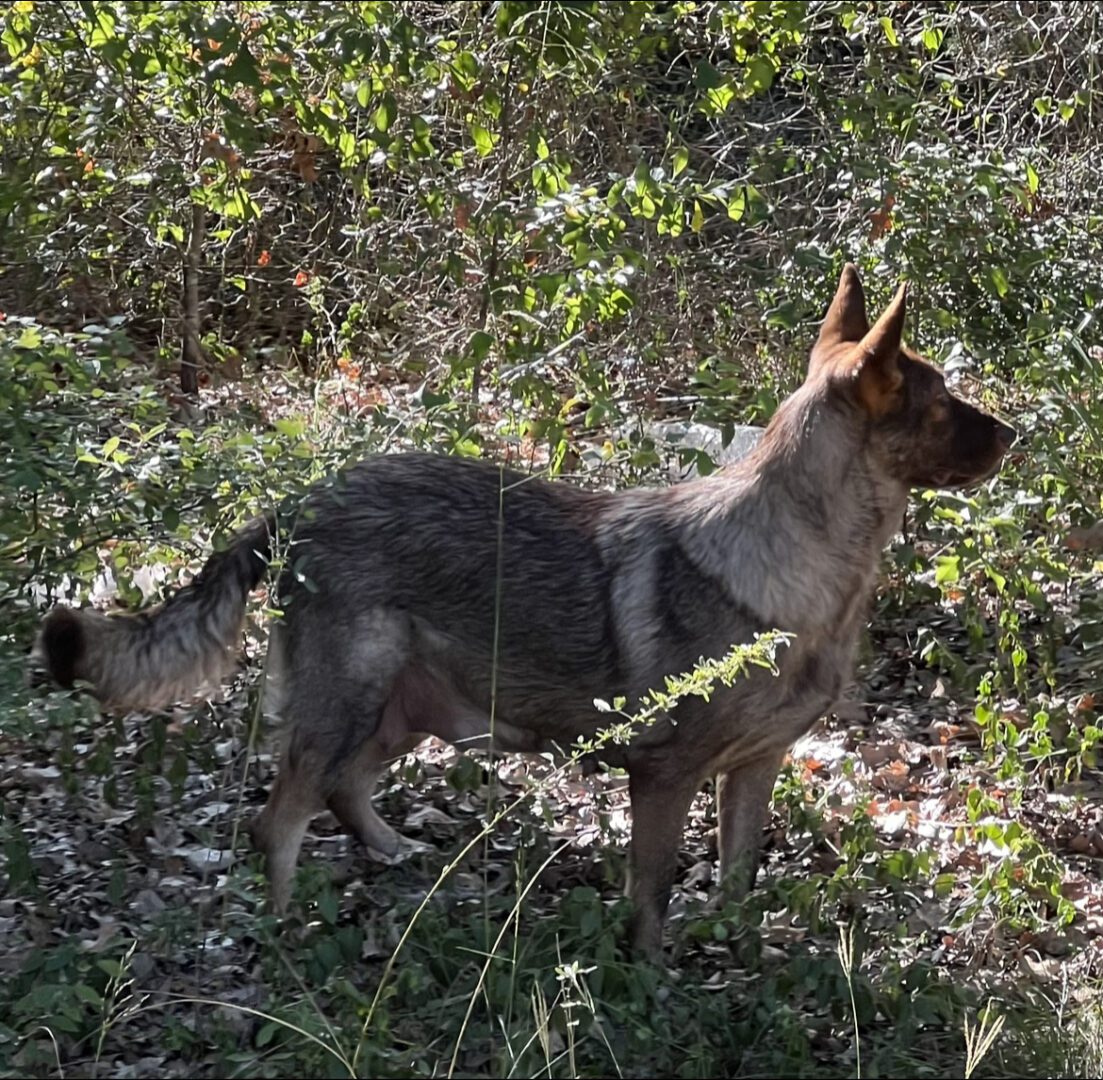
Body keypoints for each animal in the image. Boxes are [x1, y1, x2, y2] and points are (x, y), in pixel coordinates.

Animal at [32, 268, 1014, 953]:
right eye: (943, 405)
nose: (1017, 433)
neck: (798, 560)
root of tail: (298, 505)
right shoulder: (663, 778)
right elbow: (650, 896)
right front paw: (651, 978)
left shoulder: (754, 769)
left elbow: (736, 880)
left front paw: (738, 953)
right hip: (351, 701)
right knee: (278, 820)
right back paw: (282, 938)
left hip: (405, 709)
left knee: (344, 789)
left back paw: (391, 852)